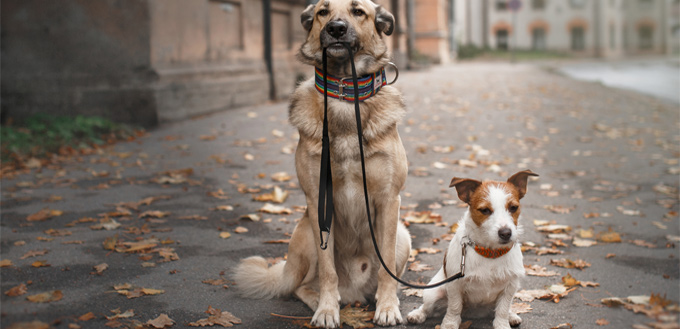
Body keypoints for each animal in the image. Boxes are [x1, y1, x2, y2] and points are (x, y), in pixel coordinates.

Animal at [234, 1, 412, 326]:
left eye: (358, 11)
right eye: (322, 12)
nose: (336, 29)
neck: (344, 93)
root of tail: (354, 292)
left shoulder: (389, 200)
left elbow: (387, 269)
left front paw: (388, 306)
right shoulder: (318, 201)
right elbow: (328, 270)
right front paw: (328, 309)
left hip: (402, 235)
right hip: (305, 230)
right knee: (300, 286)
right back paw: (320, 299)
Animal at [406, 169, 540, 328]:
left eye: (513, 207)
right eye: (485, 210)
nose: (506, 233)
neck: (490, 252)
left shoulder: (510, 286)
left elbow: (502, 309)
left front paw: (503, 323)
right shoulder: (454, 285)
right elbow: (454, 307)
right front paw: (450, 323)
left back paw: (511, 315)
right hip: (434, 292)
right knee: (426, 307)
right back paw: (417, 314)